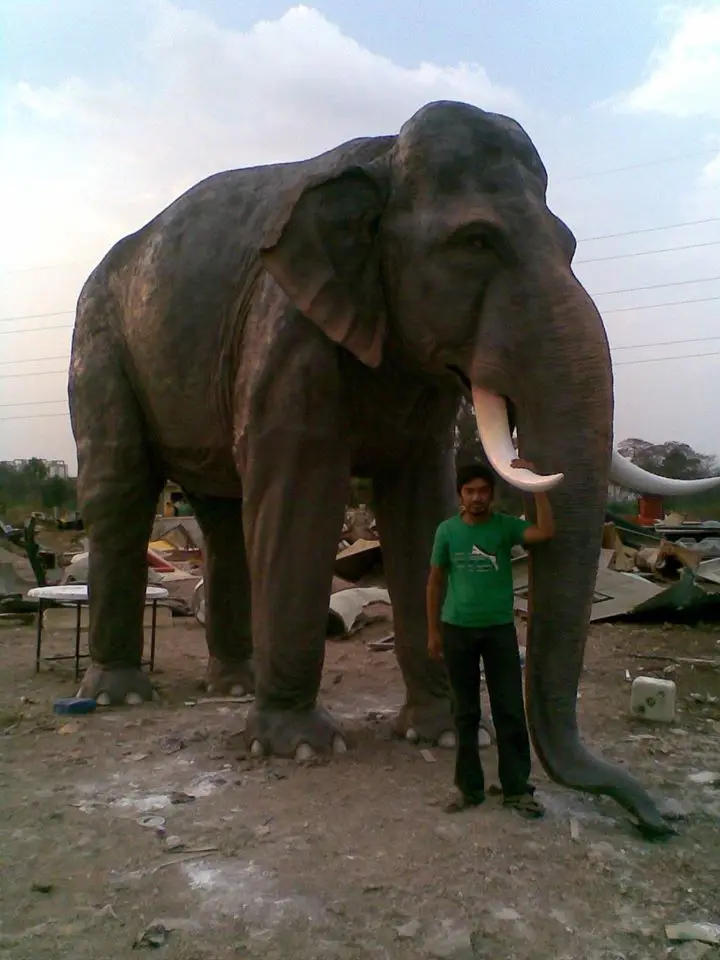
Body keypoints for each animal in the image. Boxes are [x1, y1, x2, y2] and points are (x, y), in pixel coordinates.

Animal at [69, 99, 720, 837]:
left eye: (570, 246)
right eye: (476, 243)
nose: (658, 822)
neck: (382, 161)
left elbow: (419, 506)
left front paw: (442, 734)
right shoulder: (287, 333)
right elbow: (301, 496)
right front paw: (299, 749)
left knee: (222, 515)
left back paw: (231, 685)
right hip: (98, 342)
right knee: (121, 489)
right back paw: (122, 697)